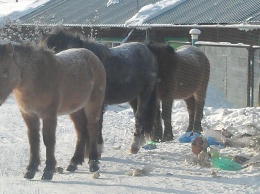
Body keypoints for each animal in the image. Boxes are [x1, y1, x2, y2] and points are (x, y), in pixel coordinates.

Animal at [0, 43, 106, 180]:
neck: (36, 78)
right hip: (75, 109)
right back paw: (74, 162)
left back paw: (93, 163)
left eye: (5, 71)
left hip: (93, 104)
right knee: (81, 130)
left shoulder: (49, 115)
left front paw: (48, 171)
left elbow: (49, 140)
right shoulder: (29, 115)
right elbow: (33, 140)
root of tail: (92, 57)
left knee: (92, 129)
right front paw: (31, 169)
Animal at [40, 30, 158, 171]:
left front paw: (95, 152)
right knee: (138, 116)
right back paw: (139, 142)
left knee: (139, 116)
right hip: (133, 98)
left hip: (145, 94)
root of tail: (147, 49)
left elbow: (96, 124)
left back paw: (134, 146)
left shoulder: (98, 104)